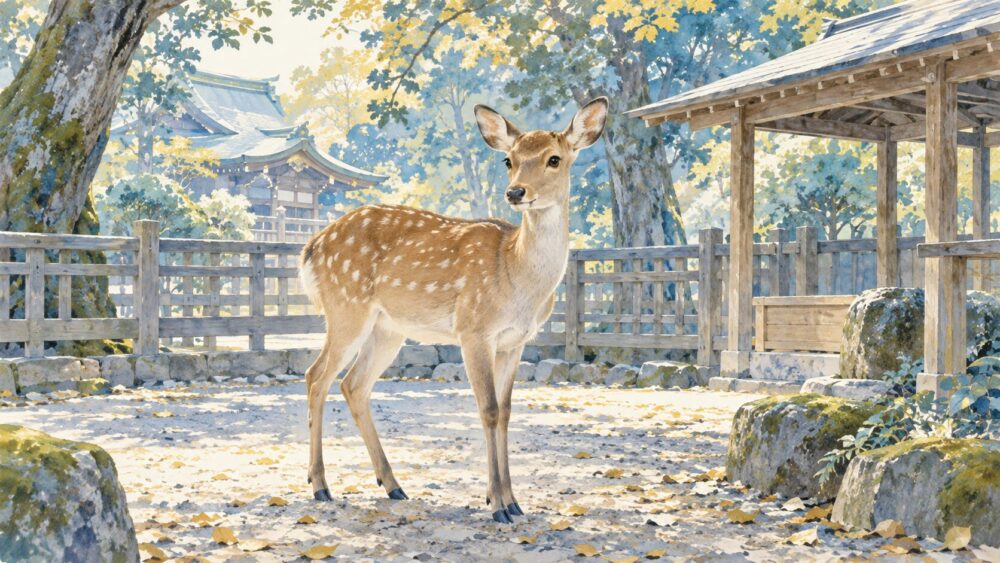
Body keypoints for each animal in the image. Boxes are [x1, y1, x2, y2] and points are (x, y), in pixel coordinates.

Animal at [298, 97, 608, 523]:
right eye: (509, 159)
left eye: (554, 159)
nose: (516, 192)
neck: (516, 275)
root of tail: (311, 247)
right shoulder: (473, 329)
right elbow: (488, 409)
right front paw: (497, 505)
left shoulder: (515, 341)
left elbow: (506, 411)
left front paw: (514, 501)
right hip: (346, 307)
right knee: (316, 376)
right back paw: (320, 486)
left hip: (388, 328)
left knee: (354, 384)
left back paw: (393, 486)